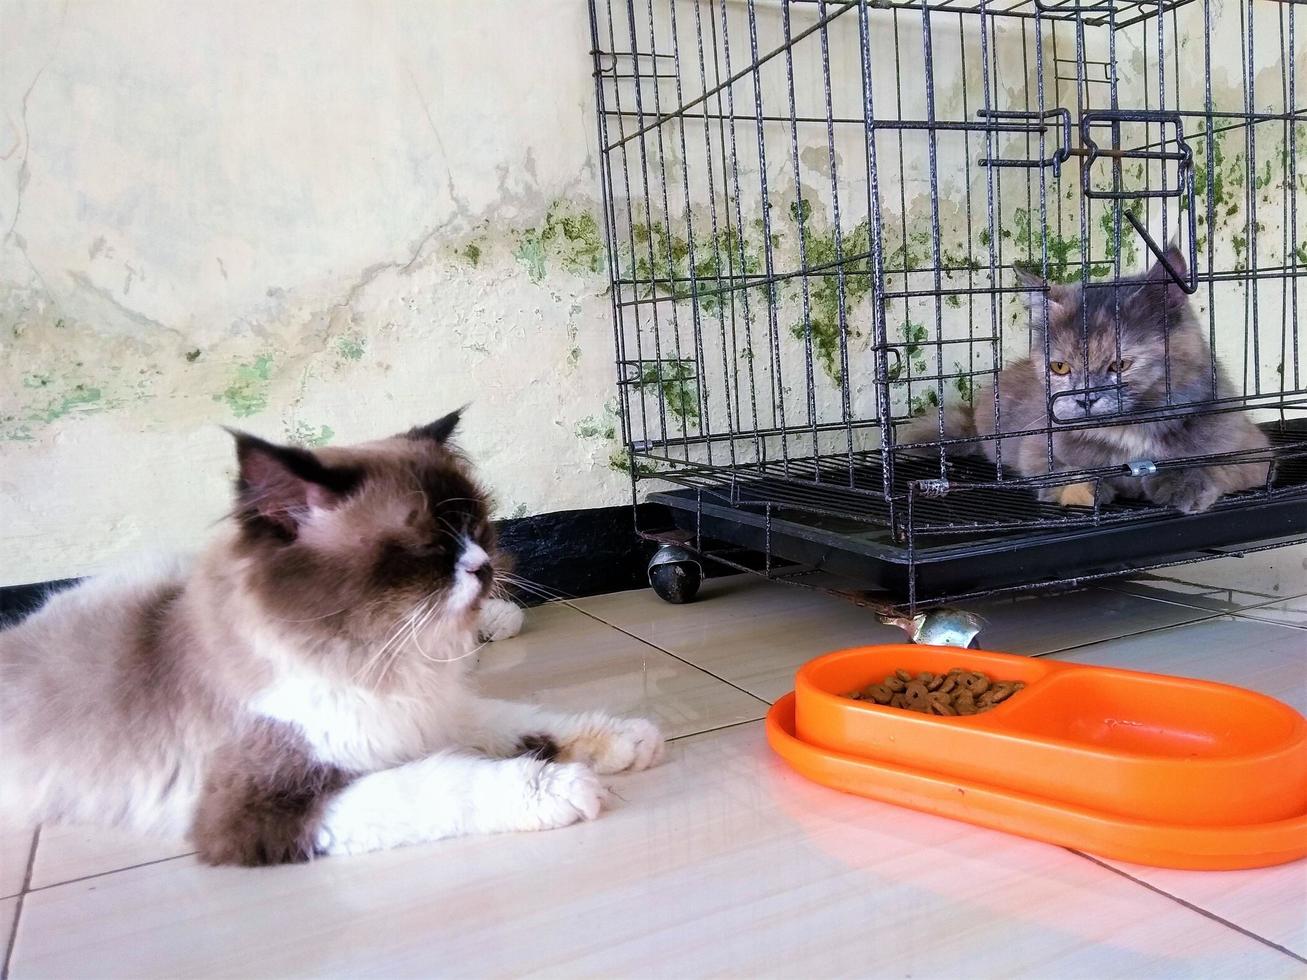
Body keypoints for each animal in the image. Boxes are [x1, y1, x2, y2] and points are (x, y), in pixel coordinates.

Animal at [0, 412, 663, 867]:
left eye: (475, 526)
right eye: (429, 546)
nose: (482, 567)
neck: (375, 656)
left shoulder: (428, 714)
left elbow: (528, 724)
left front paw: (629, 740)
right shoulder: (267, 806)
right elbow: (446, 782)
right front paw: (564, 788)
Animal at [899, 246, 1265, 514]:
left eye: (1119, 364)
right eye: (1060, 368)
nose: (1084, 398)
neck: (1131, 432)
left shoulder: (1255, 448)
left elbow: (1218, 464)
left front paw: (1184, 484)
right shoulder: (1036, 449)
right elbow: (1069, 474)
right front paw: (1091, 490)